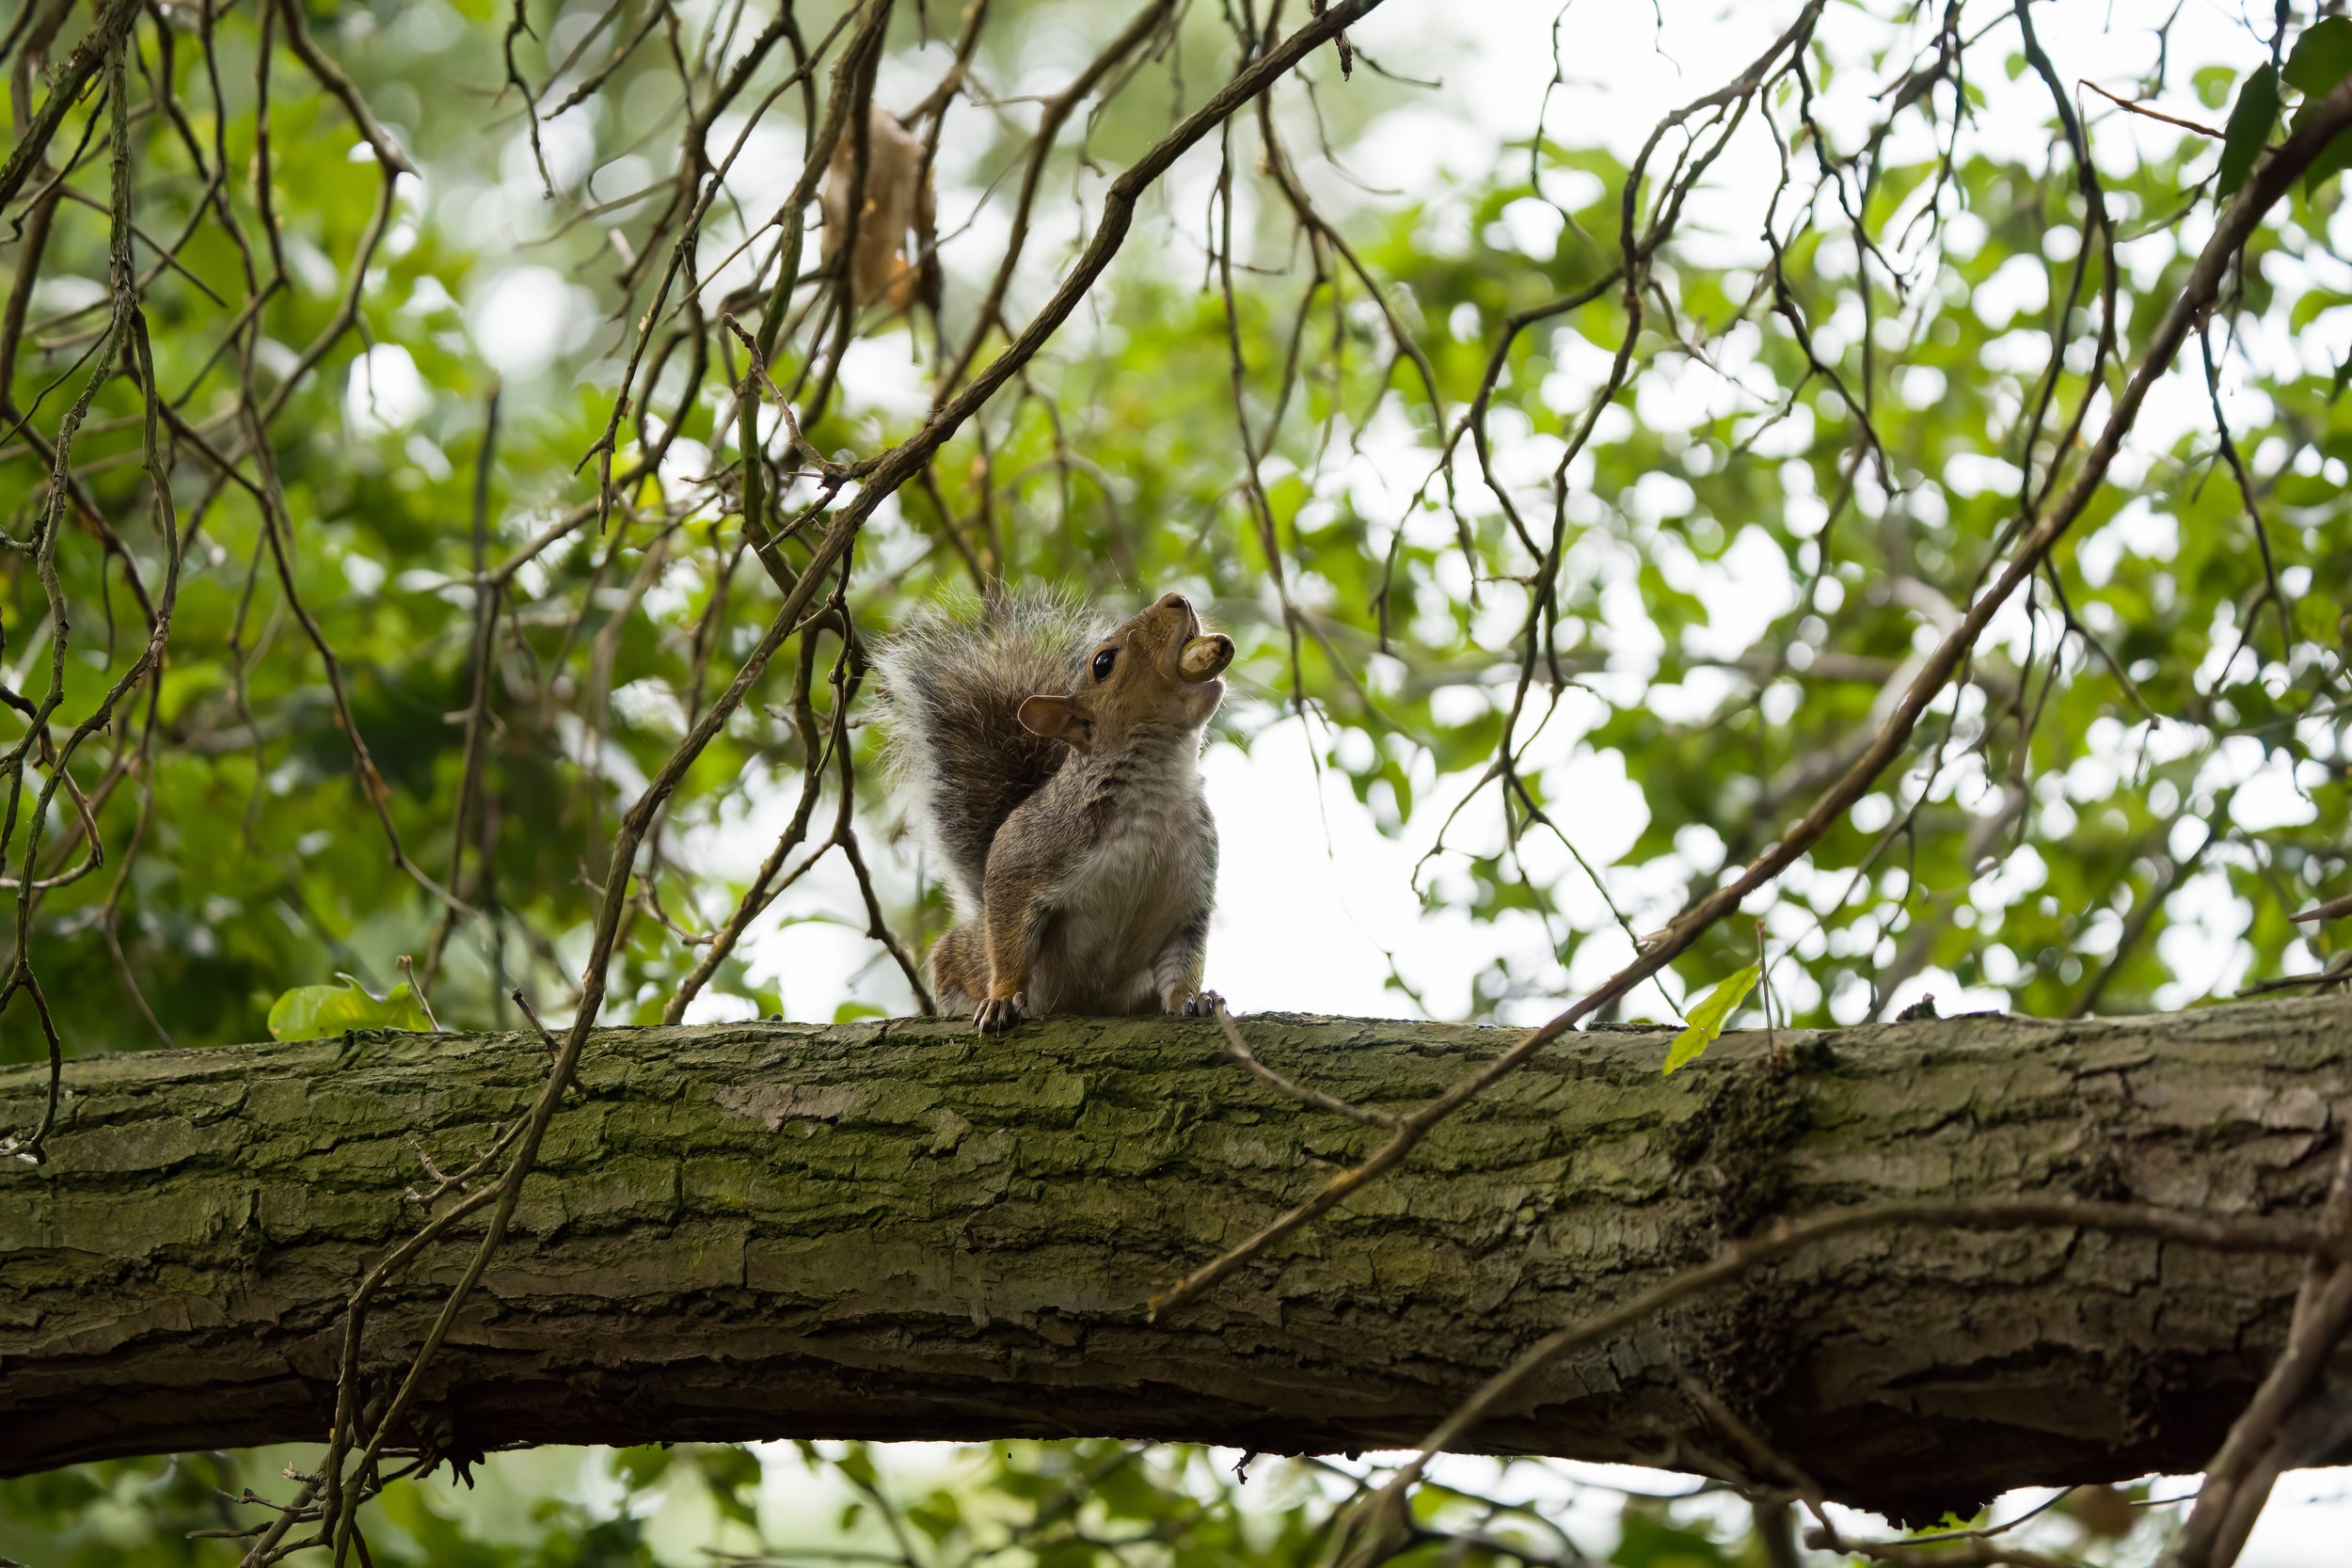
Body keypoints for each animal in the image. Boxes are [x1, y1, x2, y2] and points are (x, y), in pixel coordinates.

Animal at [874, 587, 1235, 1034]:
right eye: (1103, 663)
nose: (1177, 598)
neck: (1158, 783)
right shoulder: (1022, 867)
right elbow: (1009, 946)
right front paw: (1000, 999)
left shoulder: (1190, 897)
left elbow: (1184, 962)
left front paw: (1195, 998)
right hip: (966, 954)